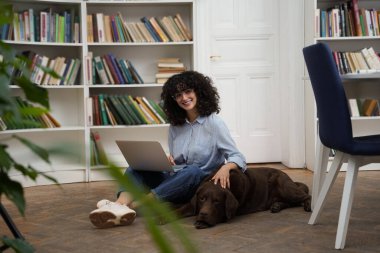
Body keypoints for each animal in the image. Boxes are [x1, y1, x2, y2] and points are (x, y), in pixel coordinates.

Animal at [175, 166, 312, 229]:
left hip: (285, 188)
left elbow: (220, 216)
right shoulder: (191, 204)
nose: (203, 214)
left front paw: (201, 222)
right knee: (289, 202)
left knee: (306, 196)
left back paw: (307, 206)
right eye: (202, 199)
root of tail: (289, 178)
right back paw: (276, 206)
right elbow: (180, 210)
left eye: (217, 201)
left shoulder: (231, 212)